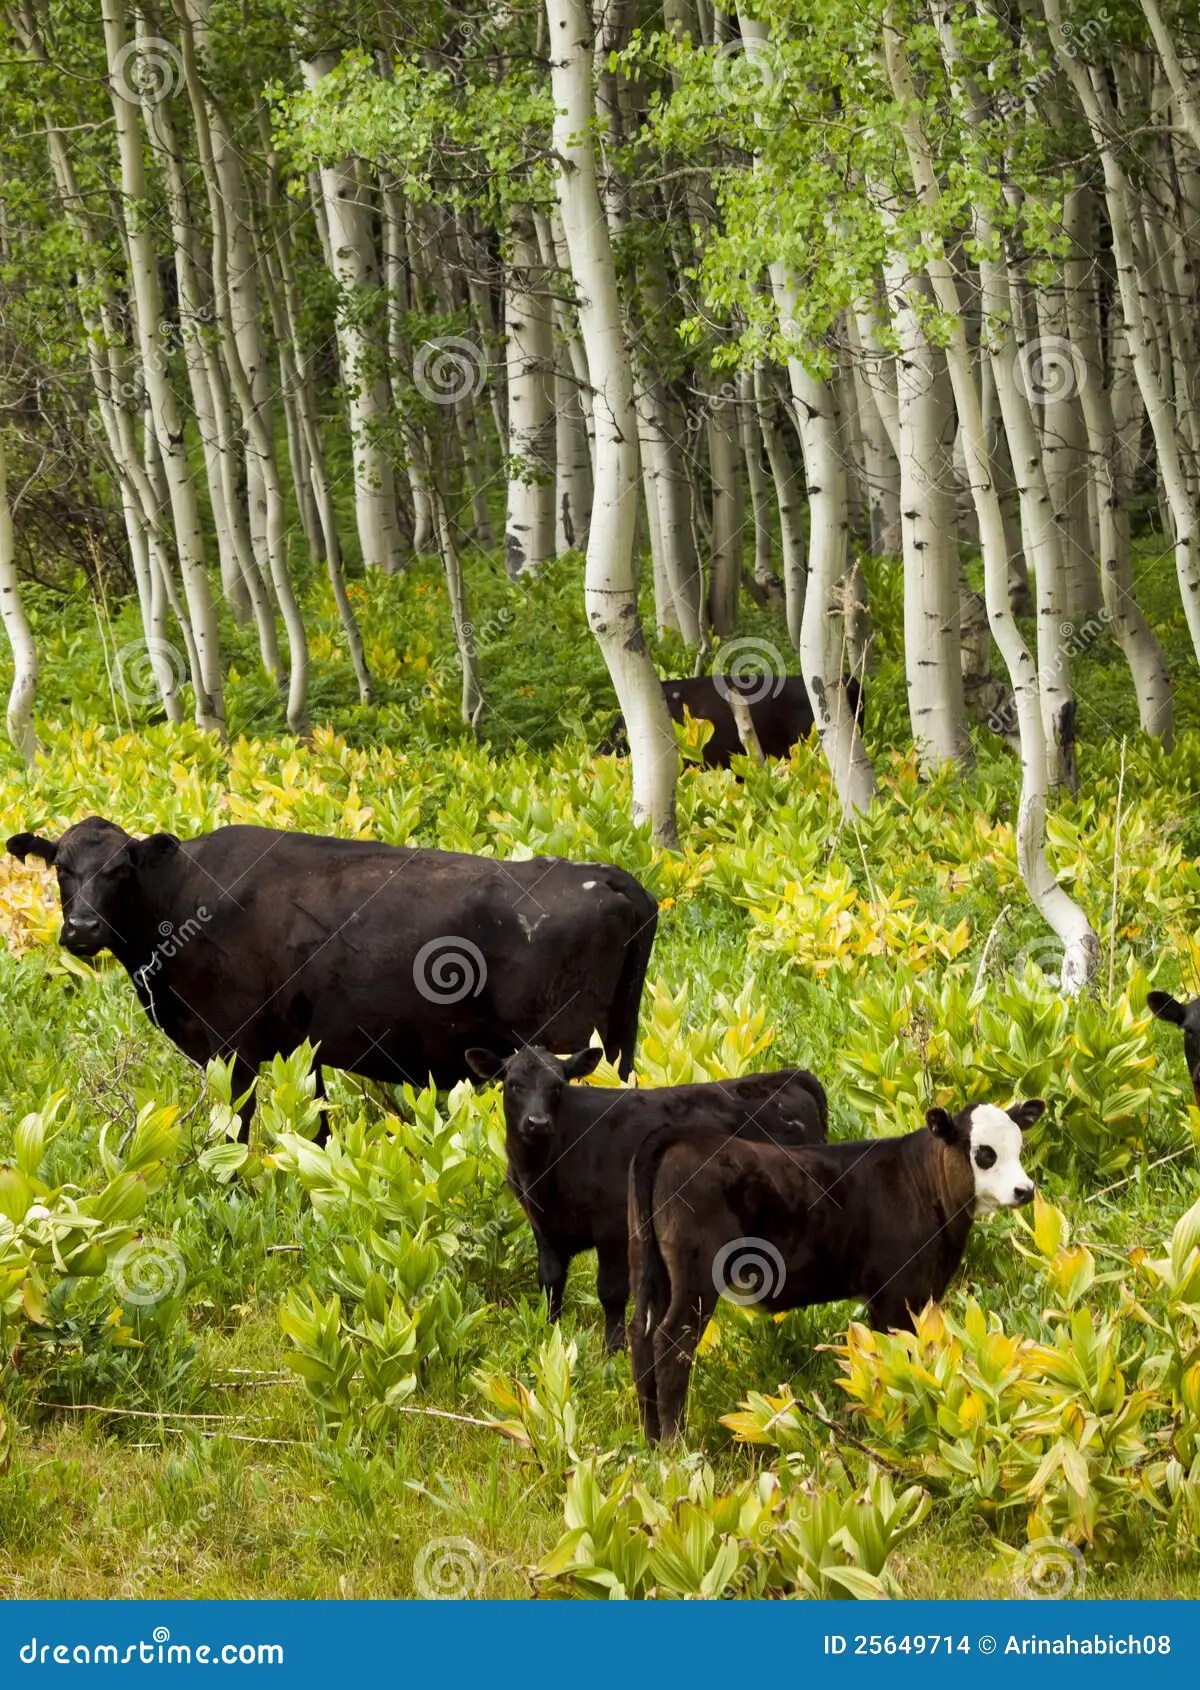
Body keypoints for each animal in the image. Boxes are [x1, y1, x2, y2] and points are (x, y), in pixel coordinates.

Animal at [6, 818, 658, 1146]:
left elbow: (238, 1125)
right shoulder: (302, 1044)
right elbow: (316, 1126)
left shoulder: (231, 1042)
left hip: (567, 1044)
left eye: (121, 868)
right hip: (618, 1041)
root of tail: (611, 876)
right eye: (61, 867)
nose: (81, 928)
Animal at [464, 1043, 828, 1352]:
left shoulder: (613, 1226)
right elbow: (550, 1283)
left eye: (558, 1086)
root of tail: (789, 1077)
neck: (543, 1170)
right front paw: (548, 1335)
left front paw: (612, 1351)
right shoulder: (544, 1226)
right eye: (513, 1084)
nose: (537, 1122)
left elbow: (610, 1291)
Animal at [628, 1097, 1044, 1440]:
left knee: (641, 1337)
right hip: (696, 1276)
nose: (1025, 1190)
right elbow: (898, 1358)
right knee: (670, 1341)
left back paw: (652, 1440)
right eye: (984, 1153)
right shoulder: (898, 1293)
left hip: (649, 1268)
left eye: (1018, 1147)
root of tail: (680, 1136)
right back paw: (676, 1445)